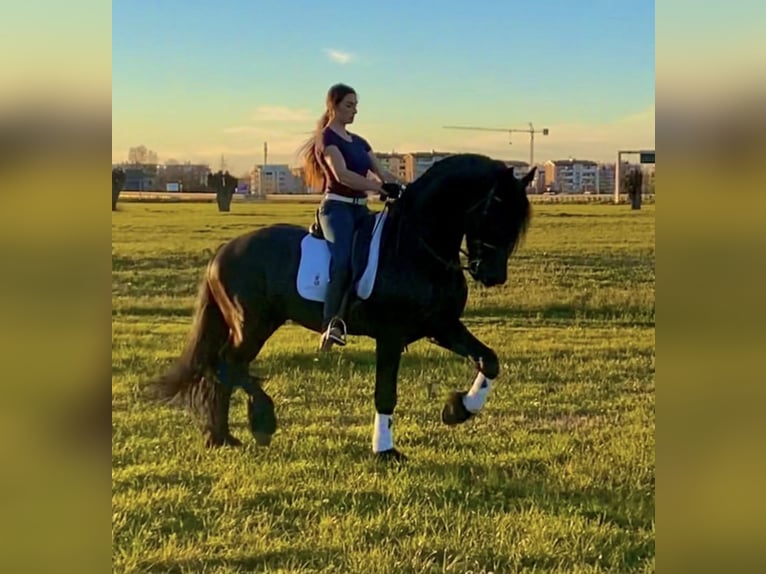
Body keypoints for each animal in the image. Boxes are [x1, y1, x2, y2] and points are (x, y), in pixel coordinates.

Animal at [146, 153, 534, 461]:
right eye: (494, 209)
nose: (493, 274)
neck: (418, 246)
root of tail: (223, 252)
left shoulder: (440, 325)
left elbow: (489, 360)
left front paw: (458, 410)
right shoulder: (391, 336)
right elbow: (385, 393)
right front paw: (385, 450)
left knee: (225, 368)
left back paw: (222, 437)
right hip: (251, 324)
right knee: (227, 364)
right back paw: (259, 423)